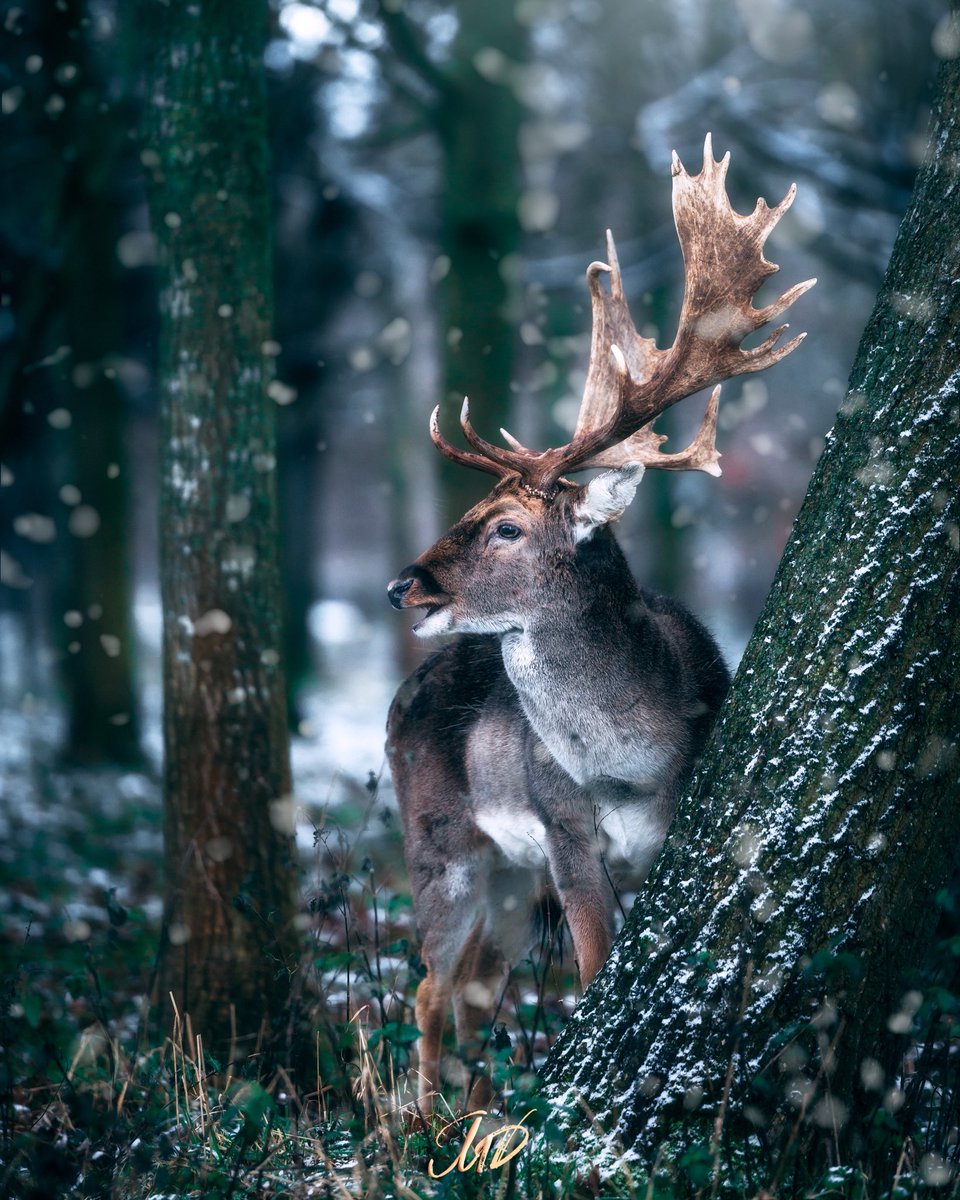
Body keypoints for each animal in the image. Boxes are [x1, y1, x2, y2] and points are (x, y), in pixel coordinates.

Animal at [386, 136, 816, 1118]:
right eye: (469, 511)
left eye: (506, 526)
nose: (401, 589)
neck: (628, 763)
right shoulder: (565, 832)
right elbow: (589, 975)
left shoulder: (659, 833)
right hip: (440, 839)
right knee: (429, 985)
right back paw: (419, 1126)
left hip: (505, 873)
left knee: (470, 990)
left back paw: (472, 1120)